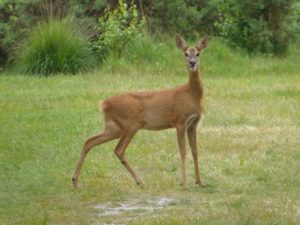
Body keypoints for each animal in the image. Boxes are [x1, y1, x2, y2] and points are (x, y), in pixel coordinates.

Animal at [72, 35, 209, 188]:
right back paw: (140, 181)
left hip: (114, 128)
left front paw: (200, 181)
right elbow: (183, 152)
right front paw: (184, 183)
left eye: (198, 53)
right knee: (118, 150)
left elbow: (195, 151)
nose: (192, 63)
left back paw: (75, 181)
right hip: (130, 124)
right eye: (185, 54)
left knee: (89, 141)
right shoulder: (179, 121)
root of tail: (104, 104)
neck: (191, 94)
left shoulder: (193, 124)